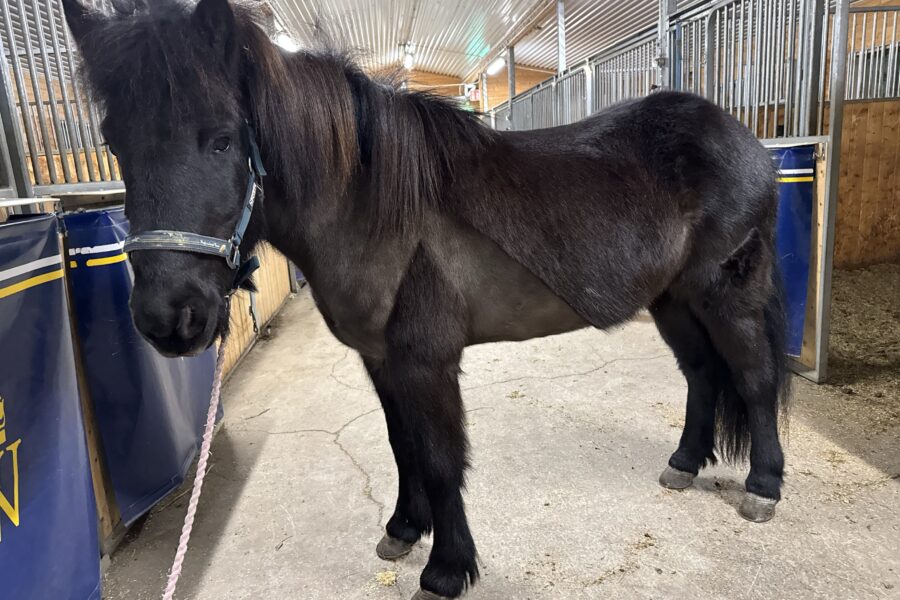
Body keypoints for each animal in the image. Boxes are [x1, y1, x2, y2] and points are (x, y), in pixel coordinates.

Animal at [65, 2, 788, 596]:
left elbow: (440, 458)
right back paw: (685, 463)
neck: (373, 208)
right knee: (702, 373)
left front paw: (447, 569)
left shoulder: (426, 362)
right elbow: (401, 443)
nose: (168, 317)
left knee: (753, 379)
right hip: (673, 300)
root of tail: (745, 141)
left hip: (725, 295)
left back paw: (763, 487)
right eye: (113, 143)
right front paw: (403, 530)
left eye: (220, 138)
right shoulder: (382, 361)